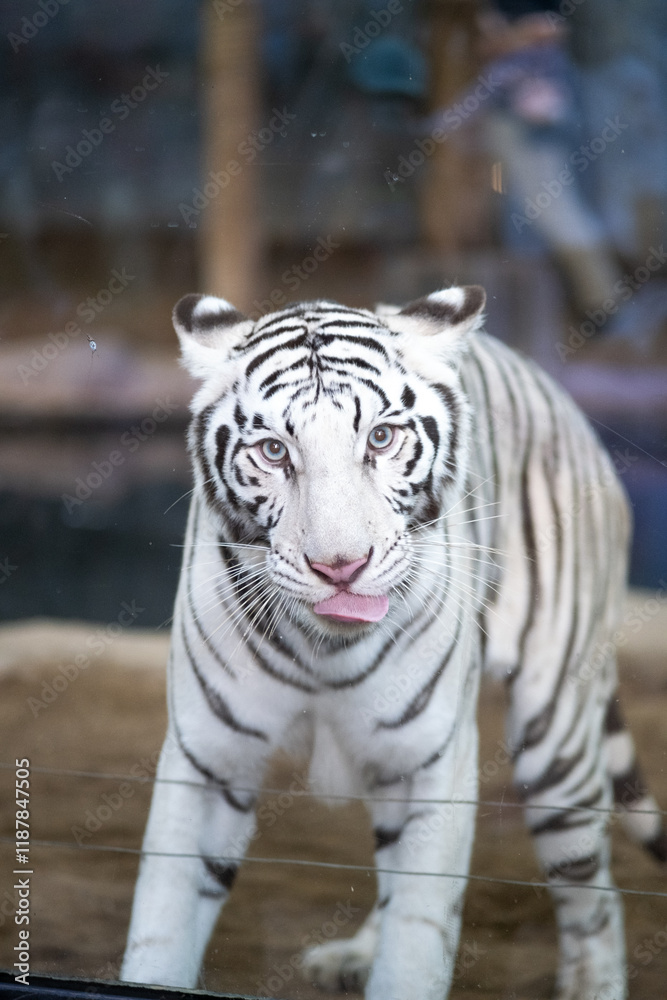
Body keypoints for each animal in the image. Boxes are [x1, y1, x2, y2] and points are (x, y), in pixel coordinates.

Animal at [121, 286, 665, 1000]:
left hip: (558, 742)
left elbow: (418, 934)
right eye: (273, 451)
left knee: (595, 897)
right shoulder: (208, 758)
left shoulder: (434, 760)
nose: (340, 567)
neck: (324, 648)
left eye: (381, 437)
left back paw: (592, 983)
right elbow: (160, 927)